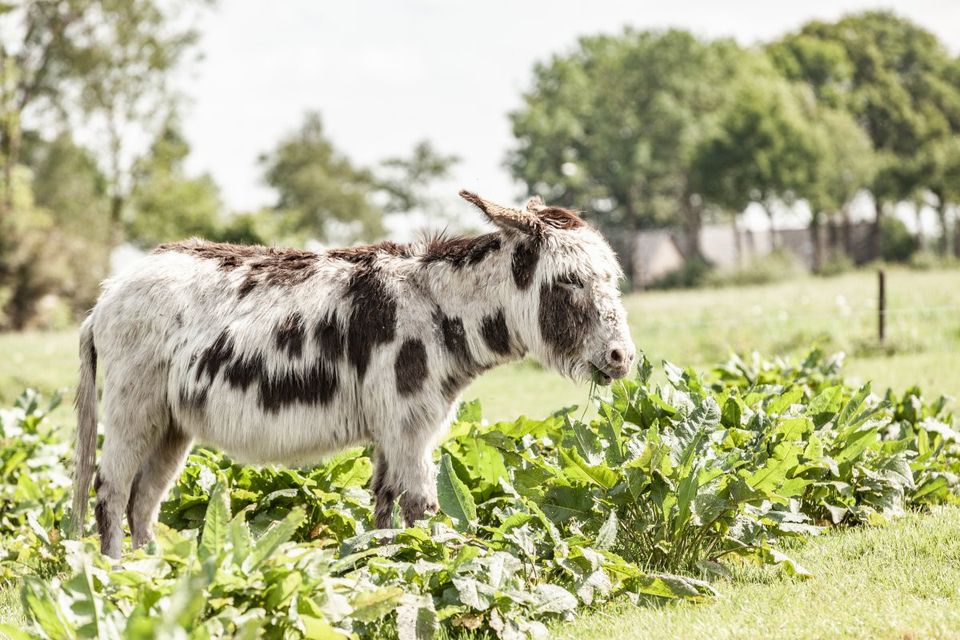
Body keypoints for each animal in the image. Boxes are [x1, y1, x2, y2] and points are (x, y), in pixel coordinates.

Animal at [71, 190, 636, 558]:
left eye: (612, 279)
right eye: (569, 282)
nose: (623, 358)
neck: (435, 308)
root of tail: (108, 295)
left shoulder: (393, 431)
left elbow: (384, 506)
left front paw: (385, 567)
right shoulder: (410, 429)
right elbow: (421, 507)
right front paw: (434, 570)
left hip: (170, 426)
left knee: (144, 500)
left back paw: (156, 576)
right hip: (133, 411)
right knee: (112, 490)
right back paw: (118, 578)